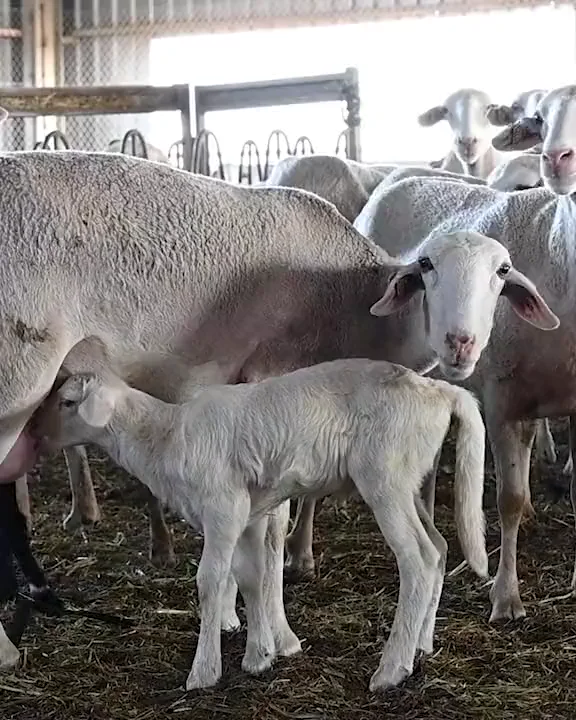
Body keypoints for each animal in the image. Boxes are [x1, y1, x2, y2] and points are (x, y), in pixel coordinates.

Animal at [34, 358, 488, 692]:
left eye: (68, 402)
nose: (37, 438)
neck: (165, 437)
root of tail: (441, 391)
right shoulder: (249, 514)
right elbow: (253, 576)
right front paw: (260, 655)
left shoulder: (224, 506)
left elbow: (210, 580)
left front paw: (204, 672)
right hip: (412, 481)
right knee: (440, 548)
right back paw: (422, 645)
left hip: (385, 476)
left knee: (419, 559)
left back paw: (391, 669)